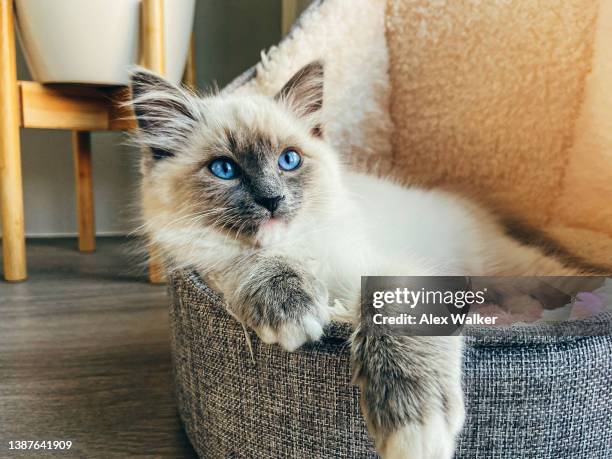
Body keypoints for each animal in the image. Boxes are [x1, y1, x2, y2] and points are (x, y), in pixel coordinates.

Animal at [128, 62, 584, 459]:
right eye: (224, 169)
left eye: (289, 160)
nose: (272, 199)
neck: (299, 250)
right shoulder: (209, 260)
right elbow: (251, 266)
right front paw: (291, 311)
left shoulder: (389, 271)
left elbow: (391, 318)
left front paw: (413, 431)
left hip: (510, 268)